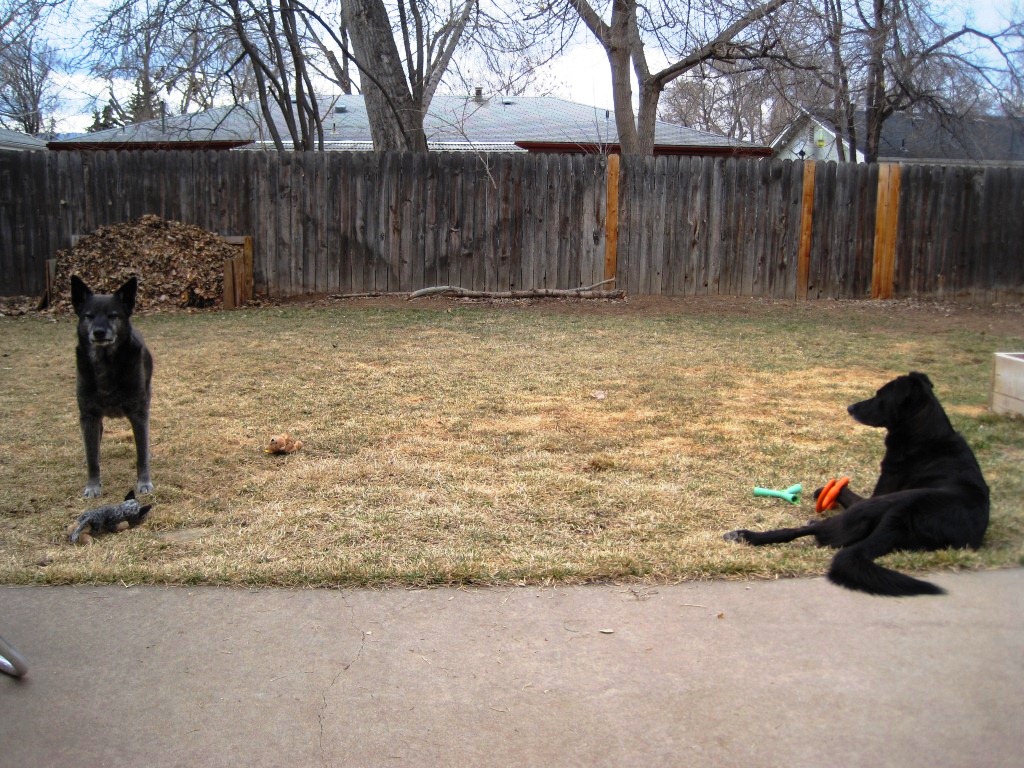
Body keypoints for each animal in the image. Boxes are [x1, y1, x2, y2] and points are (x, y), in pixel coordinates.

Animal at [71, 275, 154, 498]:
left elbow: (141, 454)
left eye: (113, 315)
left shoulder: (139, 414)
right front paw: (93, 484)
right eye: (89, 316)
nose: (99, 332)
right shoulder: (88, 416)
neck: (106, 362)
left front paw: (144, 482)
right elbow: (92, 458)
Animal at [724, 372, 989, 596]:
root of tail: (904, 518)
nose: (850, 407)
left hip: (865, 510)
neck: (928, 436)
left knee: (802, 532)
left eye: (880, 395)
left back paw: (746, 535)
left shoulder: (877, 491)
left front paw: (823, 491)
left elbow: (834, 491)